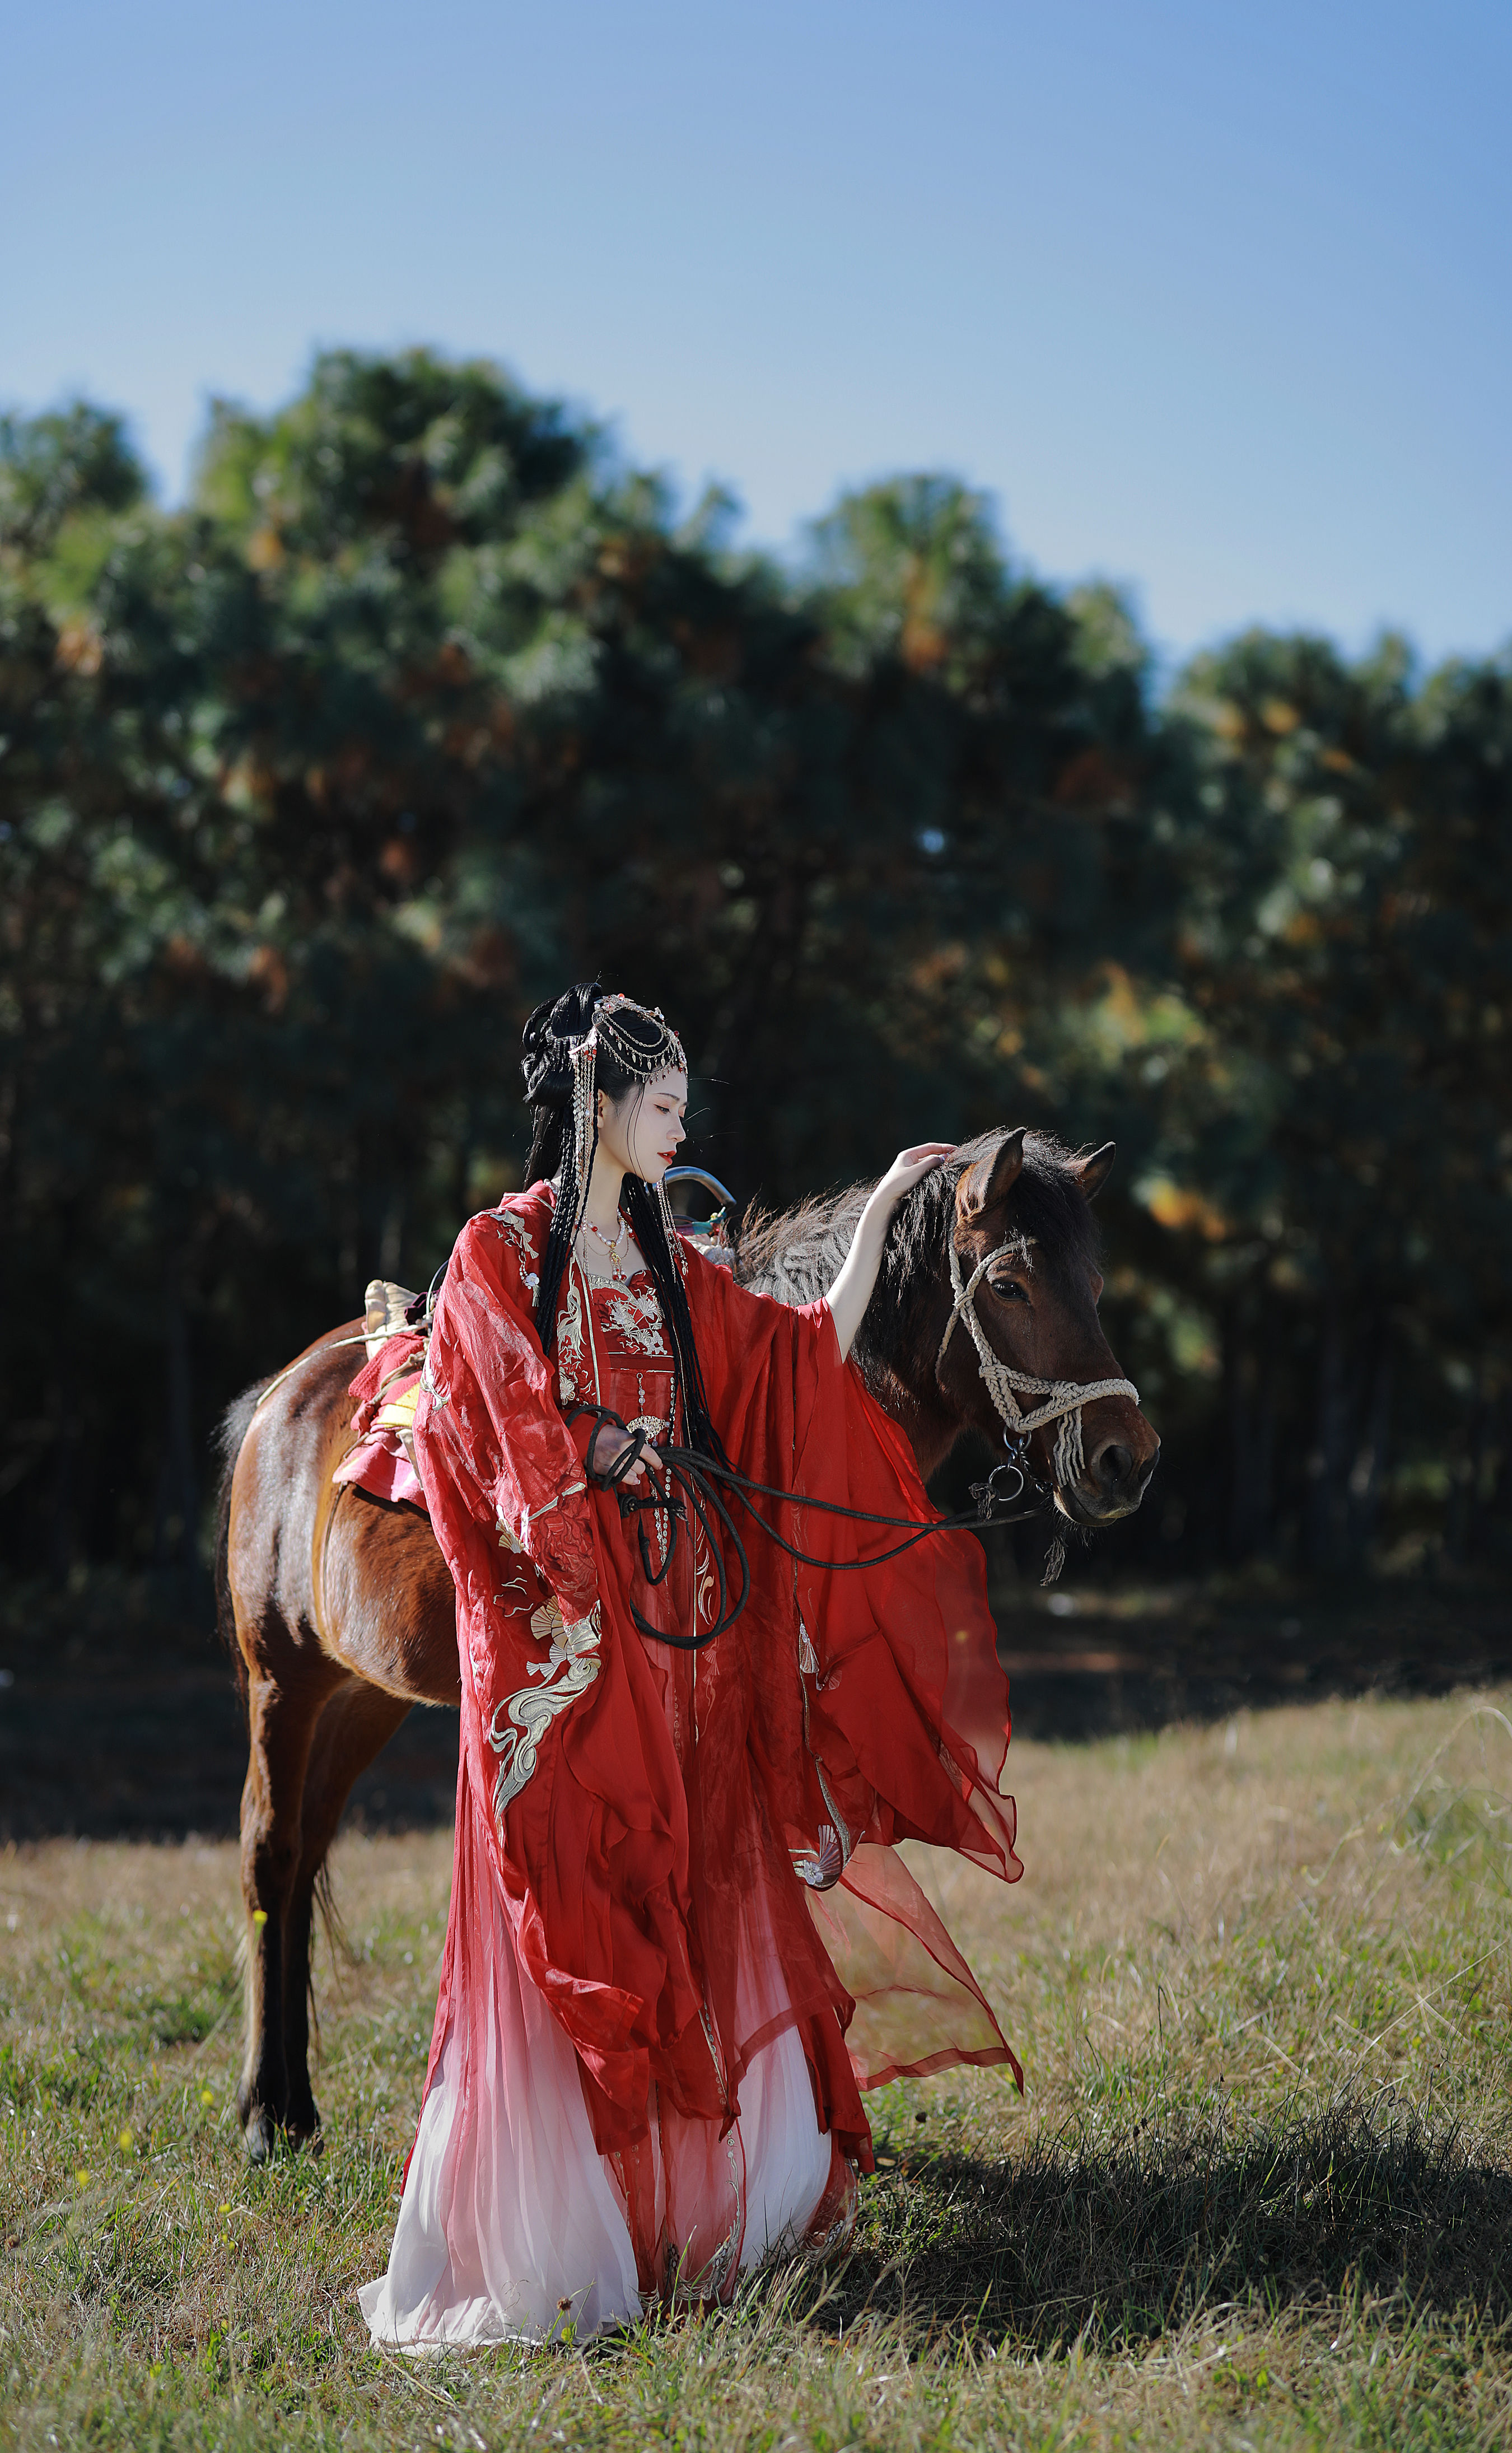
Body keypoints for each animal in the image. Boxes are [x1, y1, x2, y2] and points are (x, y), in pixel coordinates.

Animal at [216, 1123, 1158, 2158]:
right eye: (1012, 1286)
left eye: (1094, 1285)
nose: (1128, 1458)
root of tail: (283, 1394)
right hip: (283, 1679)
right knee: (271, 1850)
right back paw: (265, 2111)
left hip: (365, 1694)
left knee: (309, 1851)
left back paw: (301, 2105)